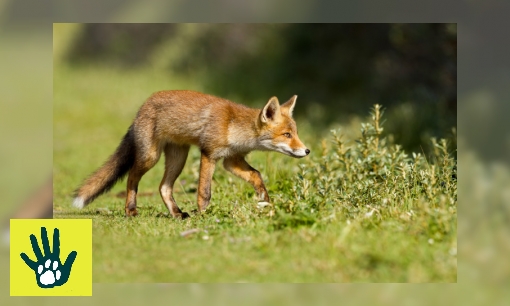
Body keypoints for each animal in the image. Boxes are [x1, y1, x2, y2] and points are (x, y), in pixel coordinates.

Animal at [73, 89, 308, 219]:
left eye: (295, 133)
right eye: (287, 134)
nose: (307, 150)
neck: (233, 126)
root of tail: (142, 107)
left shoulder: (232, 160)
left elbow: (257, 175)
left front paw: (265, 201)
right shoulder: (209, 153)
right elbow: (204, 192)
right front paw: (204, 215)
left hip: (178, 158)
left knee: (163, 187)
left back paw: (176, 213)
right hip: (150, 157)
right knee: (132, 177)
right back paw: (130, 210)